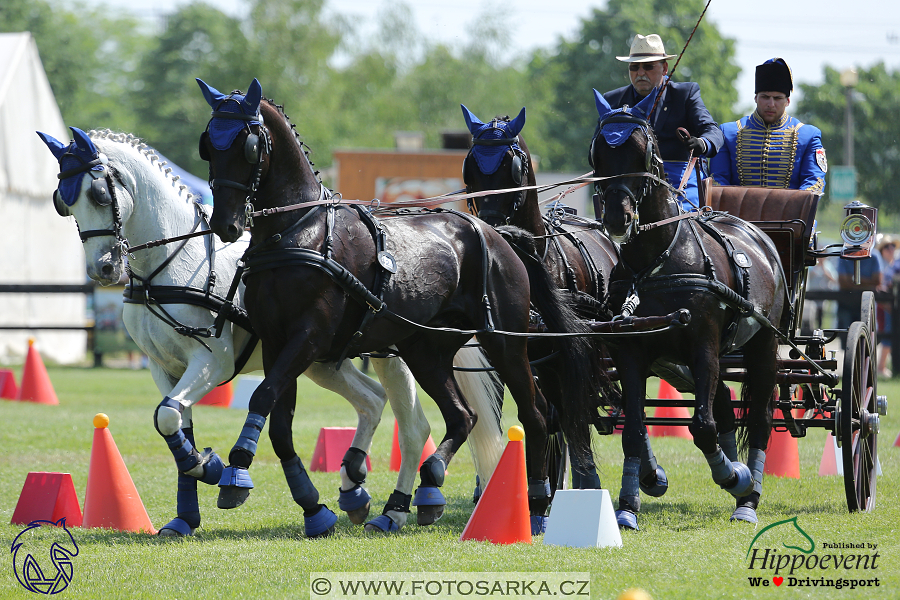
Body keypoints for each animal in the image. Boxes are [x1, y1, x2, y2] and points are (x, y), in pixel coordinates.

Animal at [38, 127, 502, 540]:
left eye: (99, 195)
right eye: (63, 201)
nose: (103, 268)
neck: (173, 263)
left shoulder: (211, 362)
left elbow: (168, 416)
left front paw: (212, 469)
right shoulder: (163, 367)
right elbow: (175, 425)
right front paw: (187, 510)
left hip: (392, 356)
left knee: (413, 428)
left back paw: (399, 508)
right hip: (322, 362)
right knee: (372, 401)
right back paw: (355, 491)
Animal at [197, 78, 596, 536]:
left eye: (248, 146)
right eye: (208, 145)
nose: (225, 224)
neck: (298, 232)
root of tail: (498, 235)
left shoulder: (308, 338)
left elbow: (262, 397)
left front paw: (236, 470)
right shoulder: (277, 342)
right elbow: (279, 424)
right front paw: (312, 505)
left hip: (505, 344)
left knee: (536, 415)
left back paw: (535, 503)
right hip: (425, 350)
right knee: (462, 417)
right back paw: (415, 493)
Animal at [460, 105, 672, 500]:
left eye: (513, 167)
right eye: (470, 168)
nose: (492, 230)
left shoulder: (564, 351)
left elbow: (572, 411)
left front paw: (581, 481)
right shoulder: (509, 352)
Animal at [588, 86, 784, 528]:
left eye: (642, 151)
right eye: (598, 154)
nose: (618, 217)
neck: (656, 260)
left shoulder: (703, 347)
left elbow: (703, 427)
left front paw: (734, 476)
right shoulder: (631, 350)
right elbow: (634, 430)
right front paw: (629, 505)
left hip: (763, 343)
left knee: (759, 419)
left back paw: (749, 497)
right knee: (725, 403)